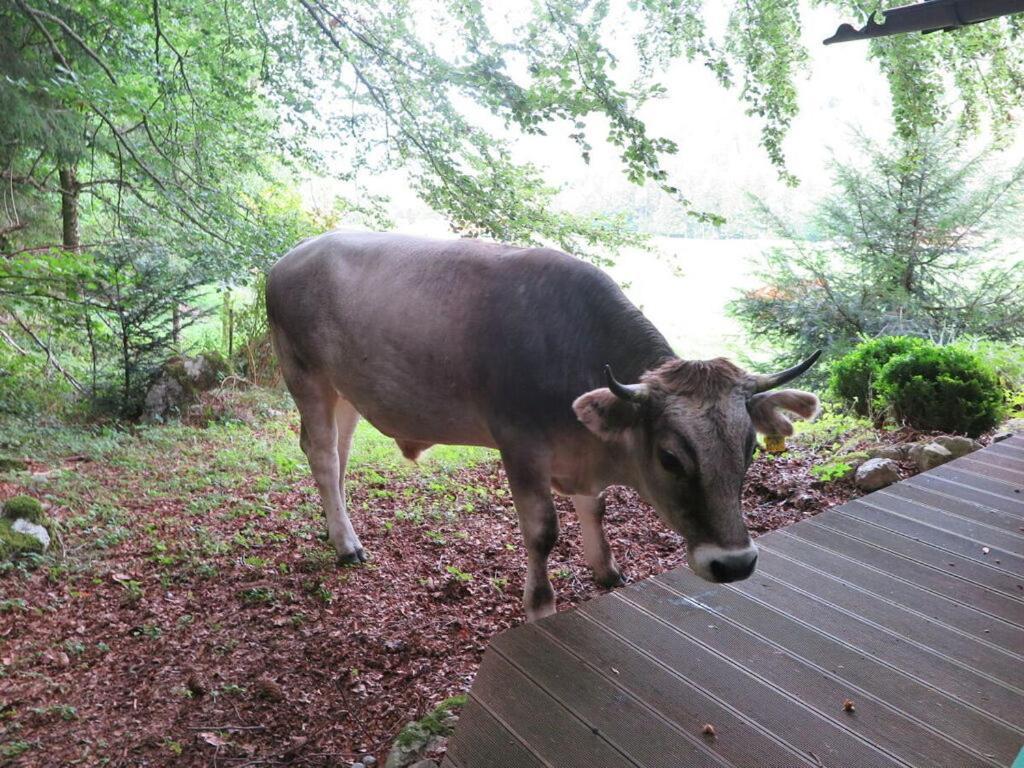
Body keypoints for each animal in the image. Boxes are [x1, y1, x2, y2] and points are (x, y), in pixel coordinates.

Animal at [266, 231, 823, 622]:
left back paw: (339, 527)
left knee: (336, 455)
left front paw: (607, 570)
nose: (735, 564)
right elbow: (542, 532)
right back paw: (346, 544)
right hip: (305, 375)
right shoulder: (519, 446)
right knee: (322, 454)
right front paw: (540, 603)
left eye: (750, 448)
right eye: (669, 457)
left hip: (346, 391)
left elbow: (595, 509)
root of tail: (293, 255)